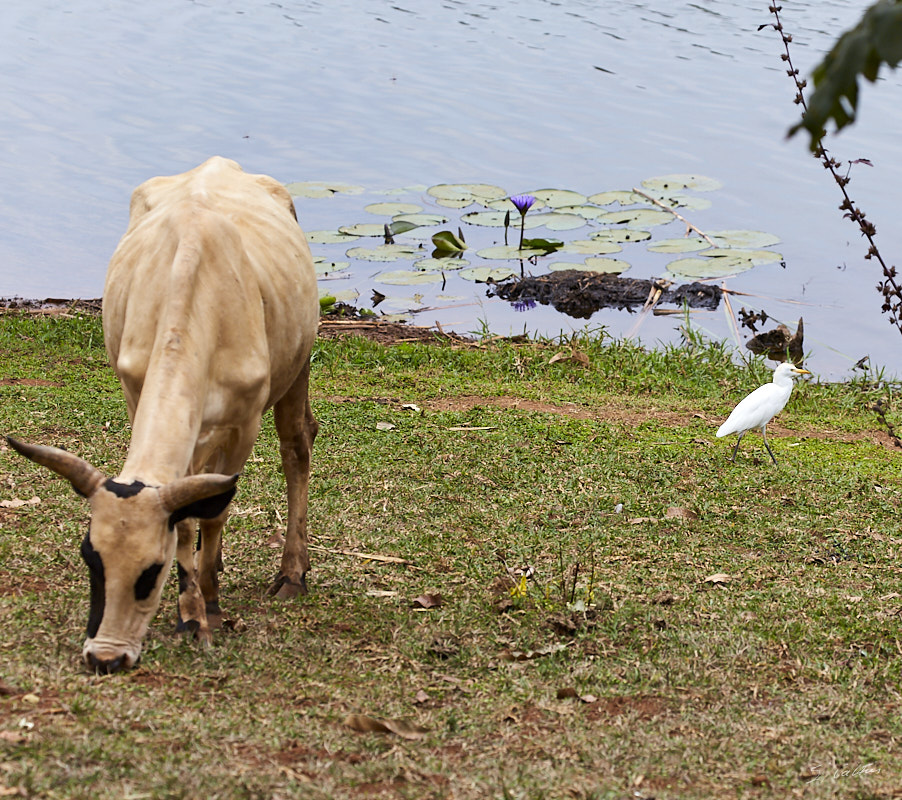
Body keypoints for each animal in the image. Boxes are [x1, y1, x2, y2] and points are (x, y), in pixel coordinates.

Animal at [5, 156, 318, 676]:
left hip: (299, 366)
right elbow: (188, 520)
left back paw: (293, 572)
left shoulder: (244, 423)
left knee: (297, 447)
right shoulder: (138, 394)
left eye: (151, 571)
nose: (105, 656)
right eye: (90, 558)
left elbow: (216, 513)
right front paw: (191, 613)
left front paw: (210, 605)